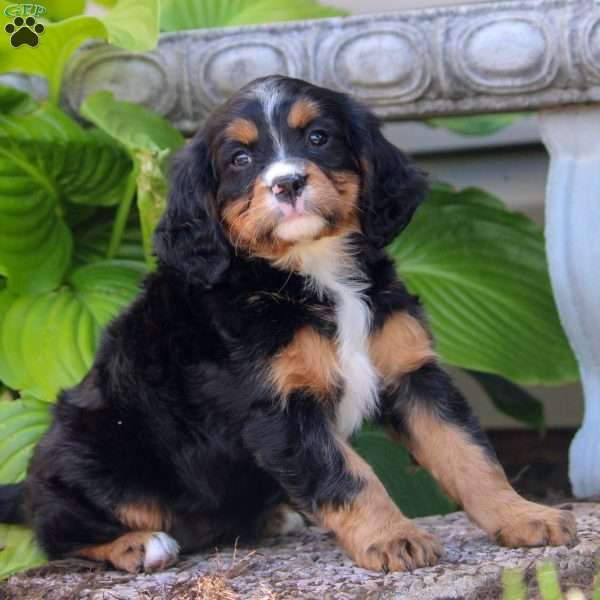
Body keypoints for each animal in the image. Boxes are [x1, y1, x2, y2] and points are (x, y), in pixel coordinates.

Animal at [0, 77, 576, 576]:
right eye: (239, 159)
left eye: (318, 137)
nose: (288, 182)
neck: (312, 272)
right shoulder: (277, 410)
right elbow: (349, 476)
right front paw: (394, 538)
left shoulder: (412, 374)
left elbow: (470, 455)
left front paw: (525, 516)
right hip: (97, 459)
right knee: (59, 532)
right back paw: (139, 545)